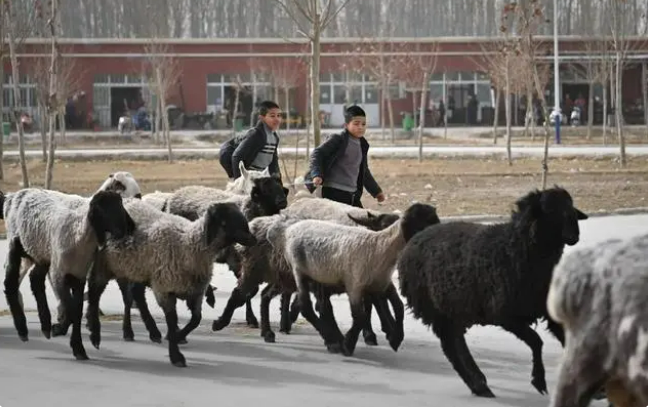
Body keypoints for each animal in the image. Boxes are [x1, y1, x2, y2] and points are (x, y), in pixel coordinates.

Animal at [1, 187, 135, 360]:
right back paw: (23, 330)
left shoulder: (79, 276)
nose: (130, 227)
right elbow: (70, 308)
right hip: (19, 244)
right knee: (10, 281)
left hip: (42, 252)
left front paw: (78, 349)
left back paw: (45, 325)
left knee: (35, 279)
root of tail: (14, 195)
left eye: (120, 205)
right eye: (104, 209)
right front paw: (58, 329)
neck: (79, 233)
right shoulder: (59, 274)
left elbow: (76, 311)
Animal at [268, 204, 440, 356]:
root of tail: (289, 228)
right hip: (299, 270)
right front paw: (348, 345)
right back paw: (331, 340)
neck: (379, 246)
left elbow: (398, 307)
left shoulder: (382, 284)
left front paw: (395, 338)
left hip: (319, 277)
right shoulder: (354, 285)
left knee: (319, 306)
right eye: (422, 223)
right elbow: (360, 316)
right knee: (306, 306)